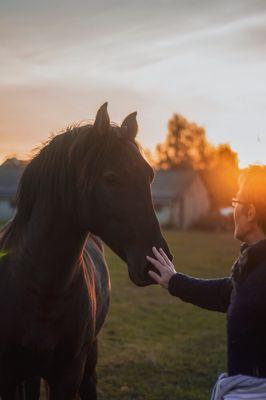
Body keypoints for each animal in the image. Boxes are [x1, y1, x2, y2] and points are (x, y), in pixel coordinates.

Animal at [0, 104, 171, 398]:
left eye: (149, 175)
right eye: (111, 177)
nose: (154, 261)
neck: (42, 288)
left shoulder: (69, 374)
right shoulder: (8, 376)